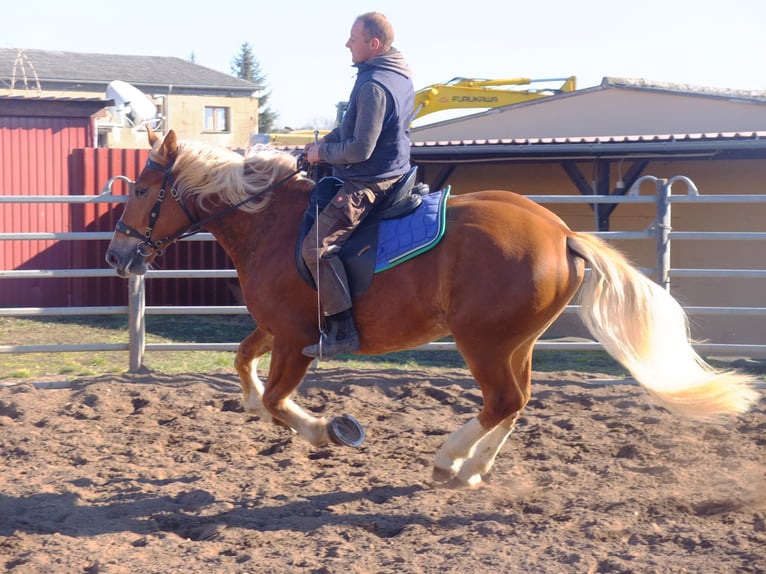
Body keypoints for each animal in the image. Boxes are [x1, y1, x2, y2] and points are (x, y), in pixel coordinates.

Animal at [105, 132, 760, 490]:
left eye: (140, 189)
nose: (116, 254)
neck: (271, 222)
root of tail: (562, 233)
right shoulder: (274, 329)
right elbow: (243, 364)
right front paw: (258, 402)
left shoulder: (295, 337)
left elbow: (276, 400)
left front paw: (326, 429)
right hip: (514, 342)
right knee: (515, 402)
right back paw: (469, 468)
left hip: (484, 341)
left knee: (503, 401)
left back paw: (450, 461)